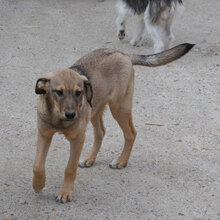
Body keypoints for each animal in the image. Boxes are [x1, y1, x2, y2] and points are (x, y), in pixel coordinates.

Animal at [33, 43, 194, 203]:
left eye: (79, 93)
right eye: (58, 92)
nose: (71, 115)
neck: (57, 118)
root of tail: (124, 54)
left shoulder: (78, 139)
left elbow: (70, 168)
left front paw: (66, 192)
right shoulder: (44, 134)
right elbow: (38, 164)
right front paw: (38, 184)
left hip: (119, 107)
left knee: (131, 133)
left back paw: (121, 161)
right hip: (96, 108)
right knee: (101, 132)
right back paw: (90, 159)